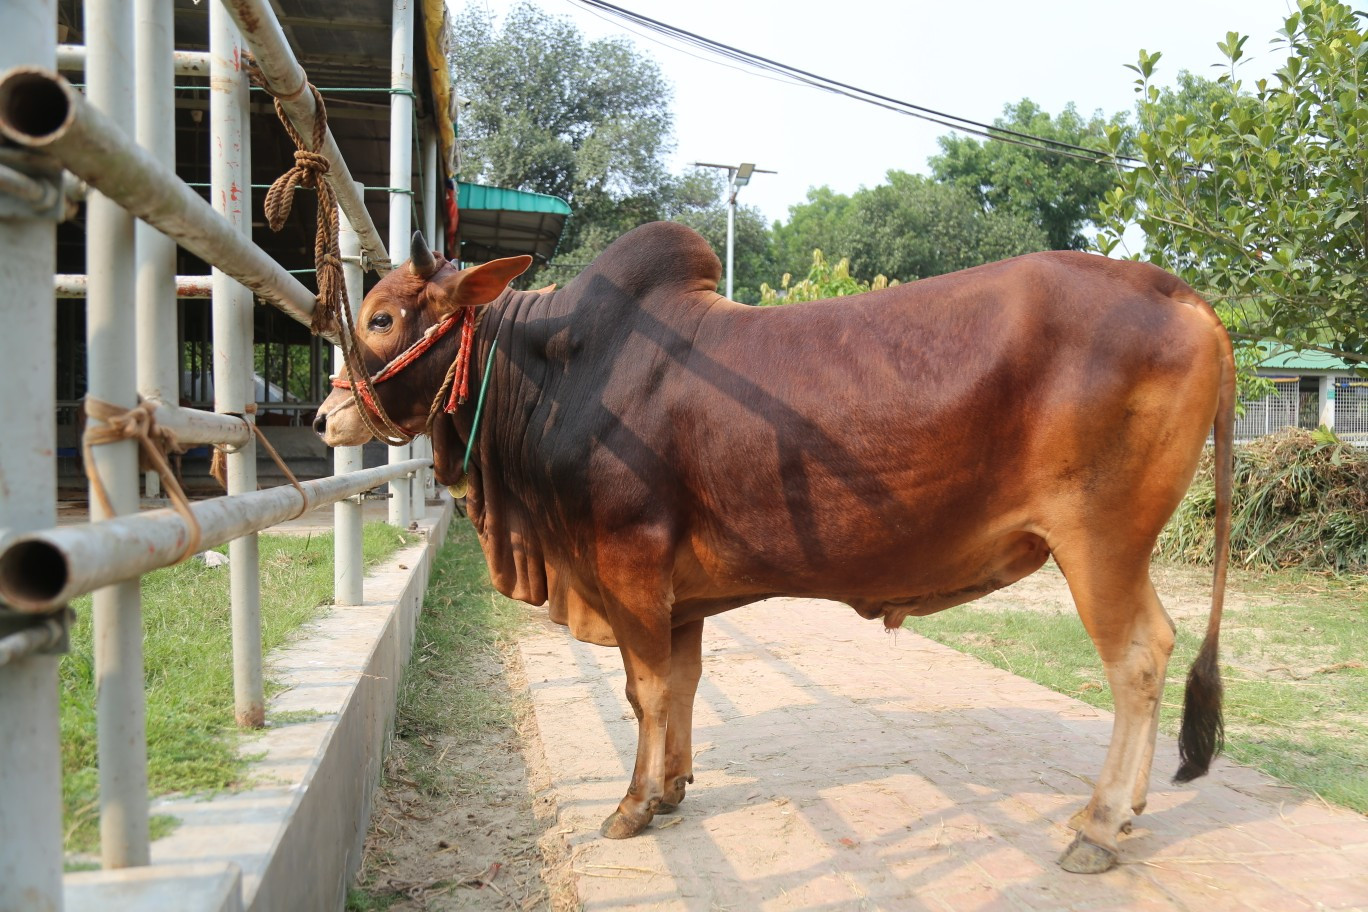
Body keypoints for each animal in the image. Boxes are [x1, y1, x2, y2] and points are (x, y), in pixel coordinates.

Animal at [314, 222, 1234, 874]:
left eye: (384, 317)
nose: (325, 418)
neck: (559, 374)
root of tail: (1186, 297)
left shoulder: (627, 563)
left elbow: (644, 691)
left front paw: (632, 806)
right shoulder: (678, 596)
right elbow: (680, 685)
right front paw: (673, 787)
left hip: (1101, 542)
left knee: (1140, 658)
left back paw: (1101, 824)